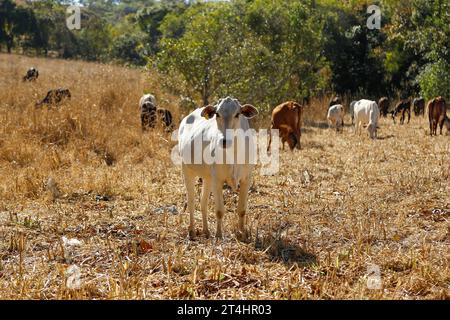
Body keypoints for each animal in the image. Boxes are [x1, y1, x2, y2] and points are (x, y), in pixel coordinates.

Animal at [178, 96, 258, 239]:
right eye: (217, 114)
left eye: (237, 114)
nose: (224, 141)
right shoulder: (217, 180)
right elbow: (220, 211)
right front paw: (219, 235)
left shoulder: (246, 180)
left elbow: (242, 210)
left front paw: (242, 233)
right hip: (187, 170)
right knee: (191, 201)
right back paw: (192, 230)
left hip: (207, 177)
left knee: (203, 202)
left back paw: (206, 231)